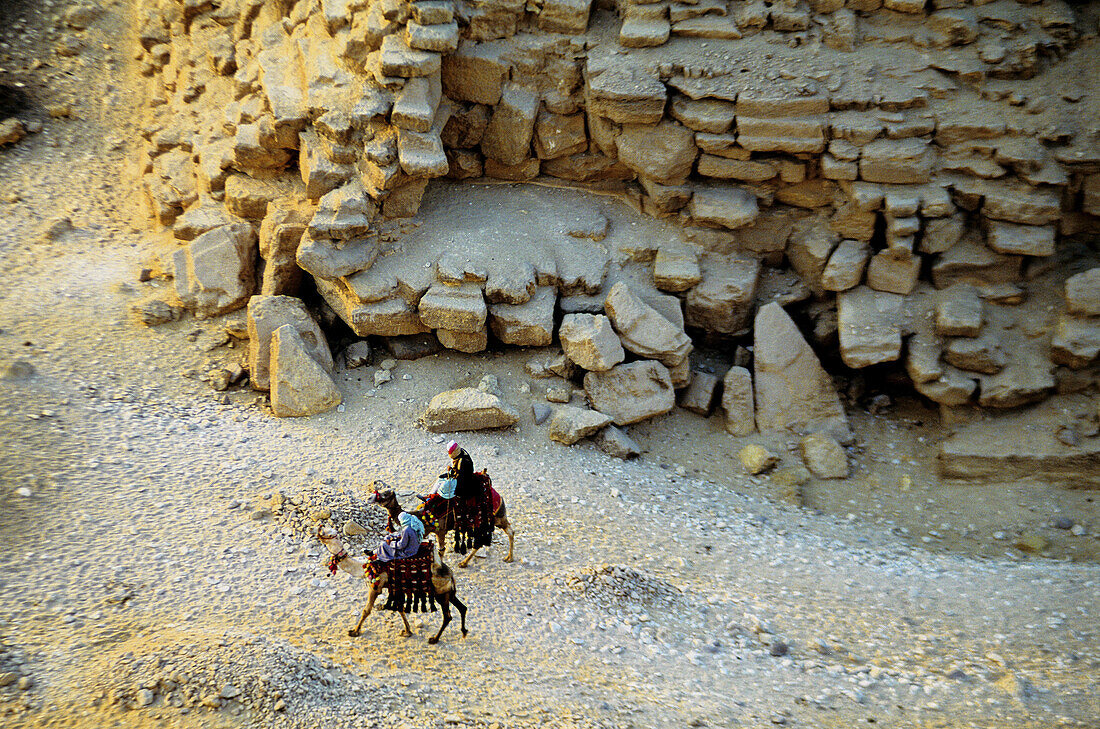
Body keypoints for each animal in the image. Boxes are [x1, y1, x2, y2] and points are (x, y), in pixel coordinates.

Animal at [316, 525, 466, 646]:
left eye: (328, 533)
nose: (319, 528)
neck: (363, 567)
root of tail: (450, 574)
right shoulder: (395, 587)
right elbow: (400, 608)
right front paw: (407, 631)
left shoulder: (375, 587)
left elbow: (366, 610)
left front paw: (354, 631)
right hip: (448, 593)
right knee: (462, 607)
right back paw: (464, 632)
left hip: (440, 593)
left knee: (447, 616)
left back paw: (434, 639)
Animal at [363, 481, 512, 567]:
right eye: (380, 490)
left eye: (385, 494)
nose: (369, 498)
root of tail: (499, 497)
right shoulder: (427, 530)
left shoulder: (441, 530)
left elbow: (441, 550)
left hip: (492, 519)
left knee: (506, 532)